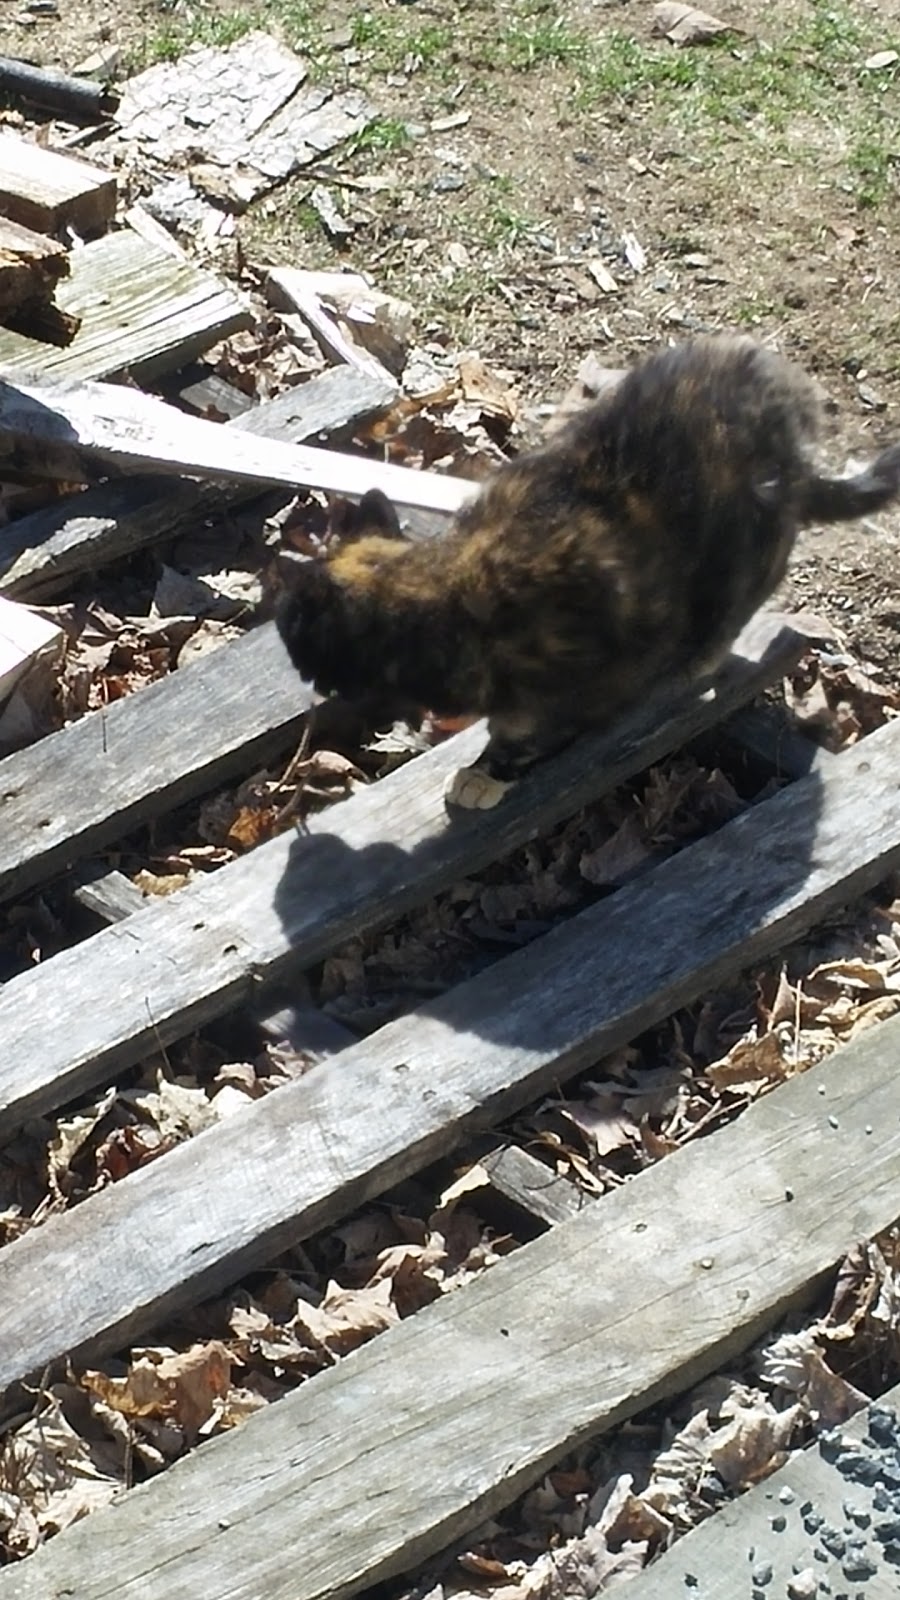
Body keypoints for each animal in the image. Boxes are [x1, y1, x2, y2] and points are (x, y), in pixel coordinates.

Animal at [275, 339, 896, 812]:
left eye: (292, 634)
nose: (305, 679)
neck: (452, 593)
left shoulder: (567, 682)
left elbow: (527, 734)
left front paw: (487, 772)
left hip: (749, 542)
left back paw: (698, 657)